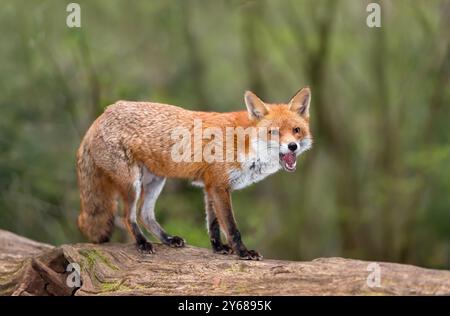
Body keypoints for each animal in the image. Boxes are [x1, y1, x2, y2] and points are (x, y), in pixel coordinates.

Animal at [75, 87, 312, 260]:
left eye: (296, 131)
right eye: (274, 132)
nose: (292, 146)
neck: (244, 142)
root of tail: (102, 114)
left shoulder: (211, 186)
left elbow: (213, 225)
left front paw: (219, 249)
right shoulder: (219, 186)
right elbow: (231, 227)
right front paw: (243, 252)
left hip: (155, 181)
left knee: (145, 214)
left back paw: (168, 239)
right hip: (132, 184)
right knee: (129, 216)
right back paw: (142, 243)